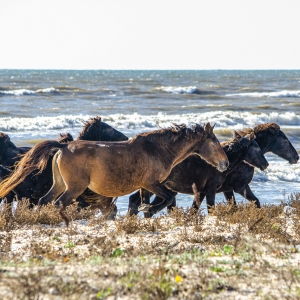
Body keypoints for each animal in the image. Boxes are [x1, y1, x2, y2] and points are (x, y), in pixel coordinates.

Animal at [0, 123, 230, 214]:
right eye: (215, 142)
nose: (225, 163)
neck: (158, 149)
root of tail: (63, 147)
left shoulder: (145, 186)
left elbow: (145, 201)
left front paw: (145, 211)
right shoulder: (151, 183)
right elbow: (167, 198)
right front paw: (149, 210)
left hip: (60, 184)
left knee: (44, 201)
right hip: (74, 187)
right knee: (59, 203)